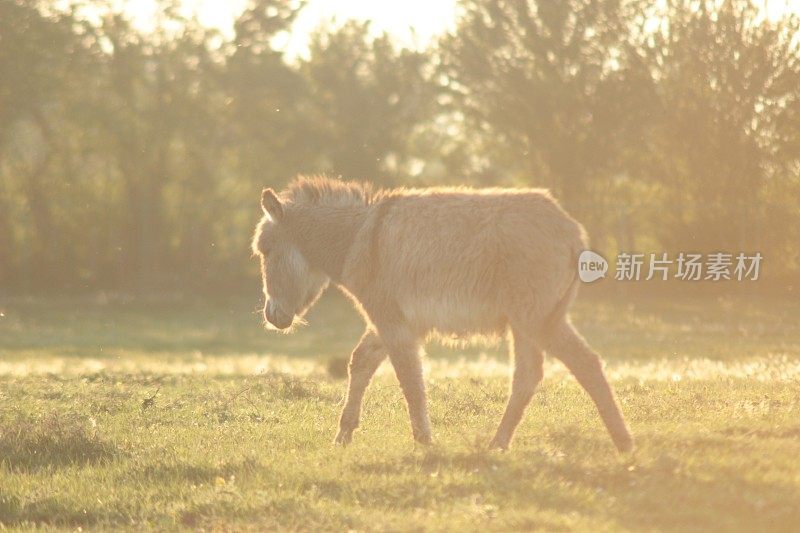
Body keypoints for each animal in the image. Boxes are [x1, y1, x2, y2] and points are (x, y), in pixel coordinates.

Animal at [253, 177, 636, 450]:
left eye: (265, 251)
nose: (272, 318)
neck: (358, 237)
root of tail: (572, 231)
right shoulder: (391, 320)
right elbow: (361, 362)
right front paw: (344, 435)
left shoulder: (392, 321)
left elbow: (409, 379)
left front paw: (424, 442)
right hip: (527, 320)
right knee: (528, 376)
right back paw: (498, 444)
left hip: (537, 318)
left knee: (585, 363)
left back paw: (623, 444)